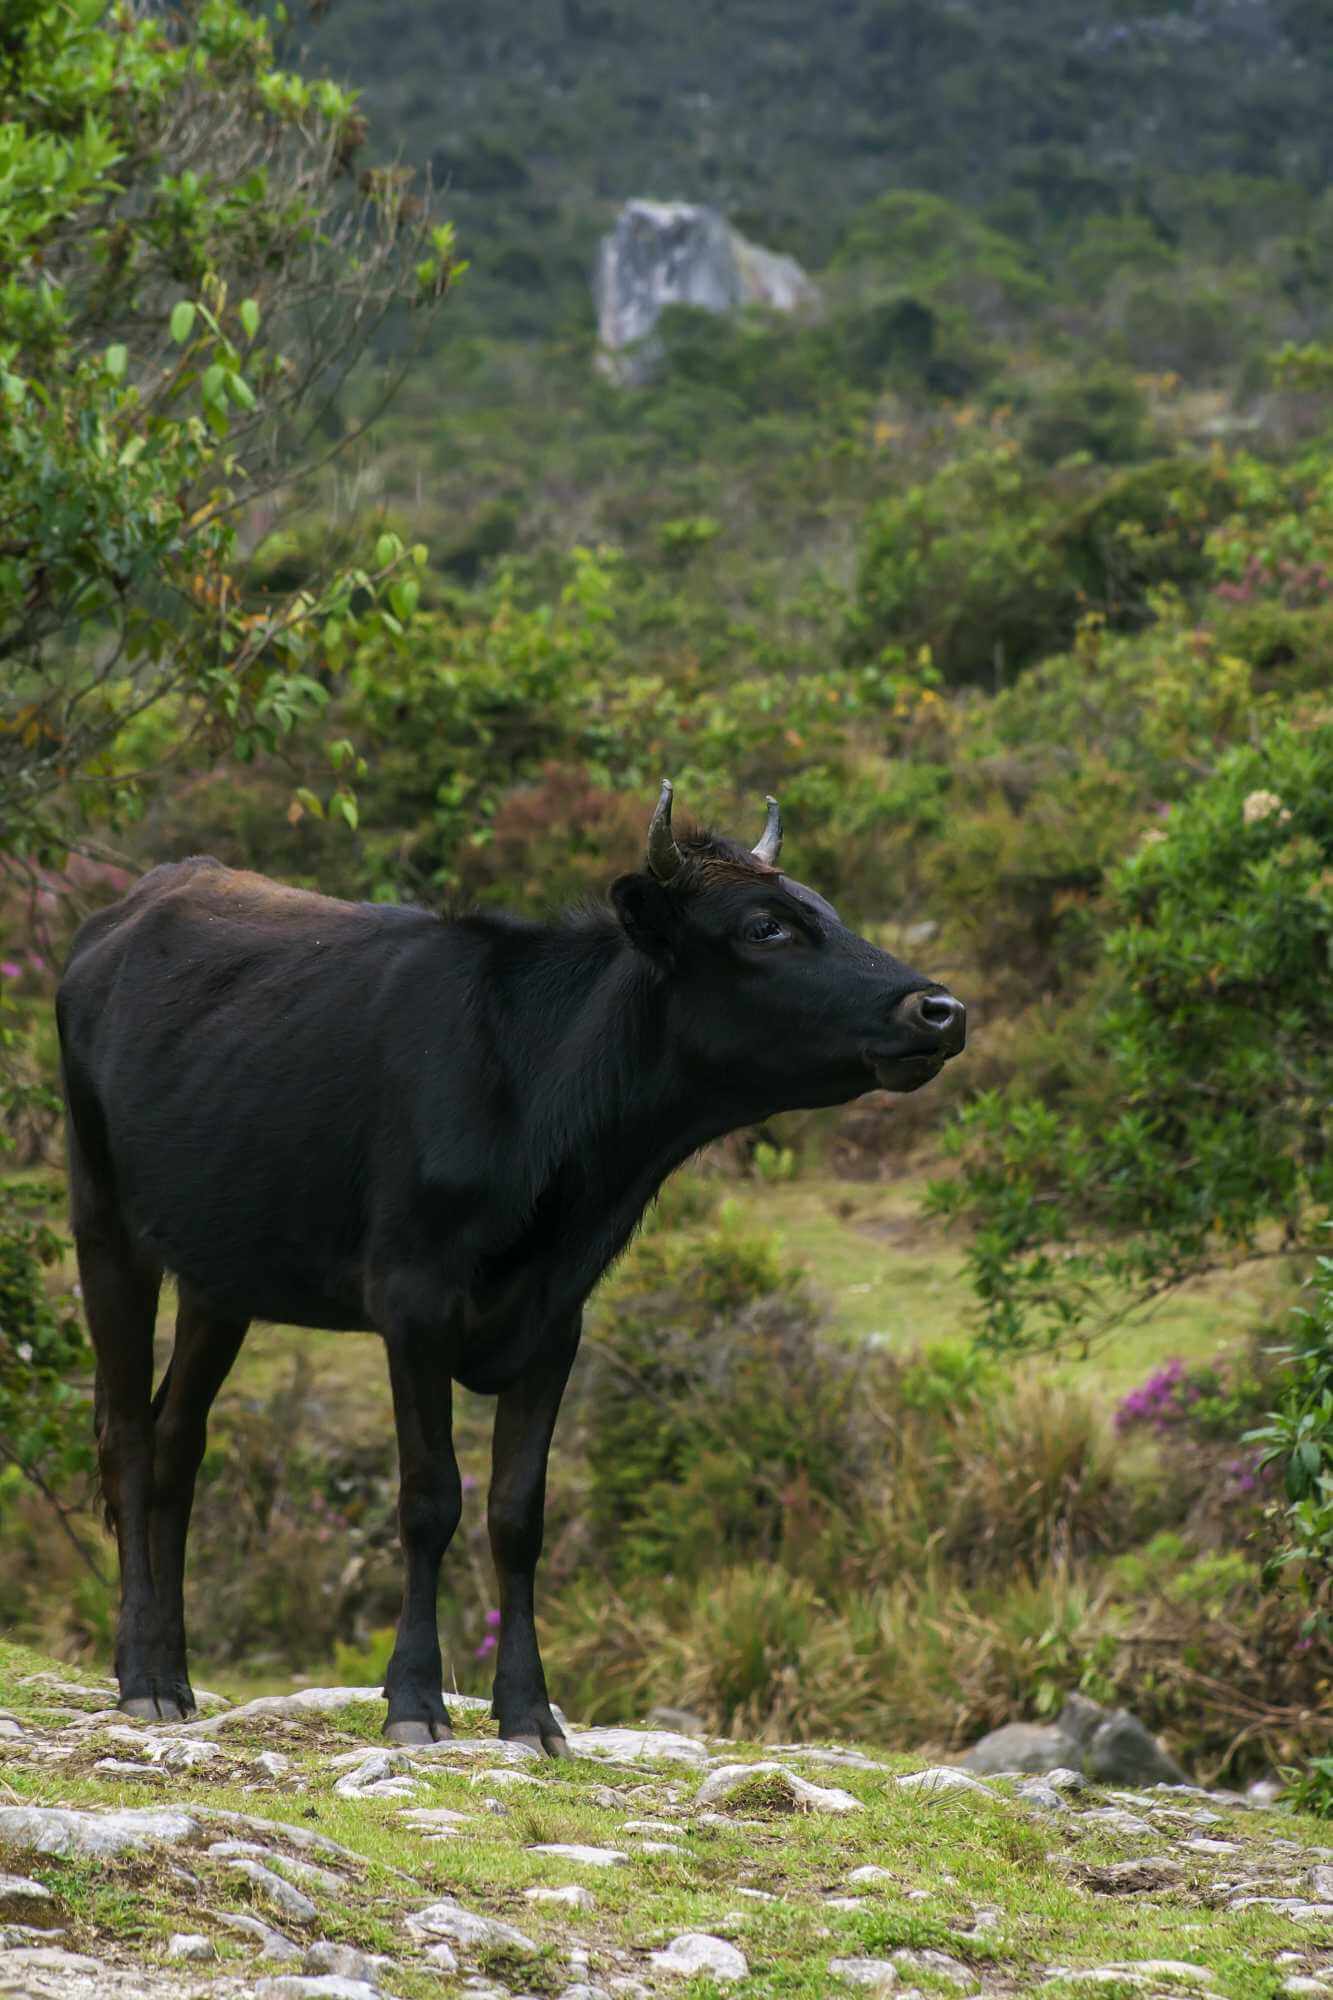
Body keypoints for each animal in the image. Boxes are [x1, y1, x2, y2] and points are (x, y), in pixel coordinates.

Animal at [57, 780, 960, 1752]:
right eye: (766, 928)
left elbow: (517, 1514)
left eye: (826, 910)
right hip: (105, 1224)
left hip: (218, 1272)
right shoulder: (412, 1303)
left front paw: (528, 1710)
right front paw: (415, 1699)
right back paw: (145, 1677)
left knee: (179, 1442)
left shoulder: (554, 1322)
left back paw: (172, 1670)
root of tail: (136, 903)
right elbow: (429, 1501)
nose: (940, 1009)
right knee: (128, 1435)